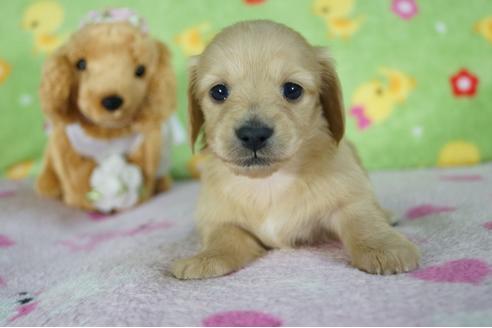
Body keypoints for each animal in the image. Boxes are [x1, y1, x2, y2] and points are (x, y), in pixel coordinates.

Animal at [172, 19, 418, 280]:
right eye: (218, 92)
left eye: (292, 90)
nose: (253, 135)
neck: (268, 182)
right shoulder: (221, 219)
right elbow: (223, 238)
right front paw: (205, 258)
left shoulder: (349, 196)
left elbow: (362, 219)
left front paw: (385, 248)